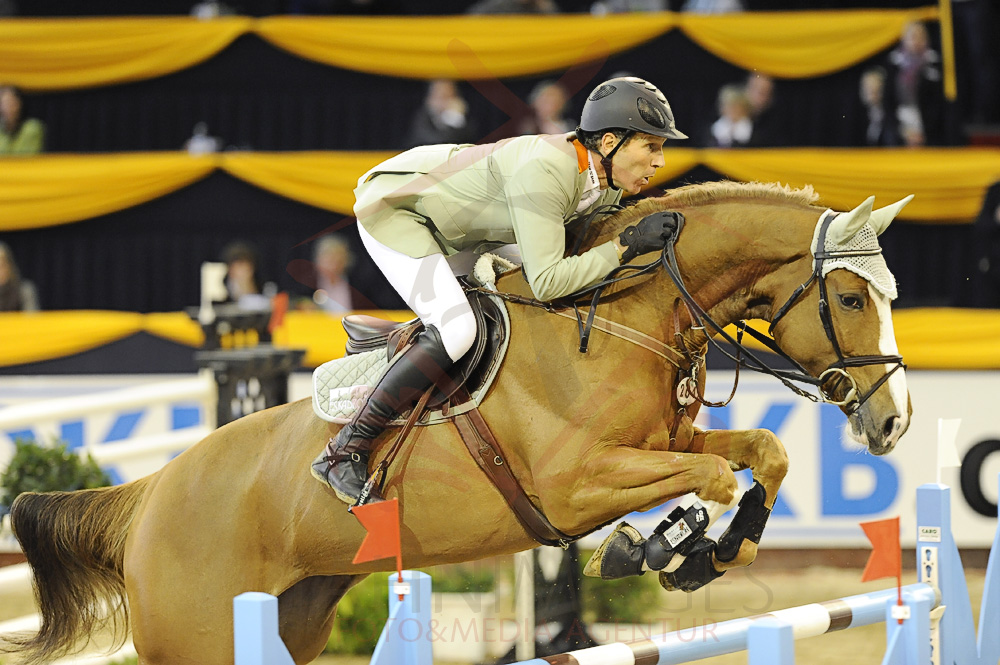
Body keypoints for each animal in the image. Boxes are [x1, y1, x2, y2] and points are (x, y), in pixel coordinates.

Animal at [3, 182, 916, 664]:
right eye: (848, 298)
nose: (894, 423)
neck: (625, 311)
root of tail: (149, 494)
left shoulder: (659, 443)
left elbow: (759, 452)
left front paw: (718, 550)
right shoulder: (577, 484)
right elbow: (712, 476)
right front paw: (657, 547)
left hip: (292, 616)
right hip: (201, 637)